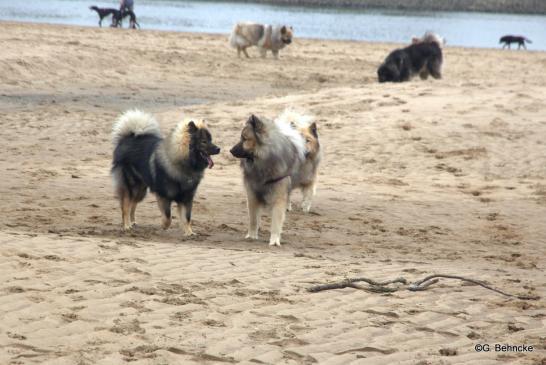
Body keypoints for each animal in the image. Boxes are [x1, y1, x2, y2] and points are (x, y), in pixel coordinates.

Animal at [231, 112, 314, 246]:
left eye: (244, 139)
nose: (231, 150)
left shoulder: (278, 197)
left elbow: (276, 221)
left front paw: (275, 240)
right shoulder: (252, 195)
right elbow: (253, 219)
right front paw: (252, 235)